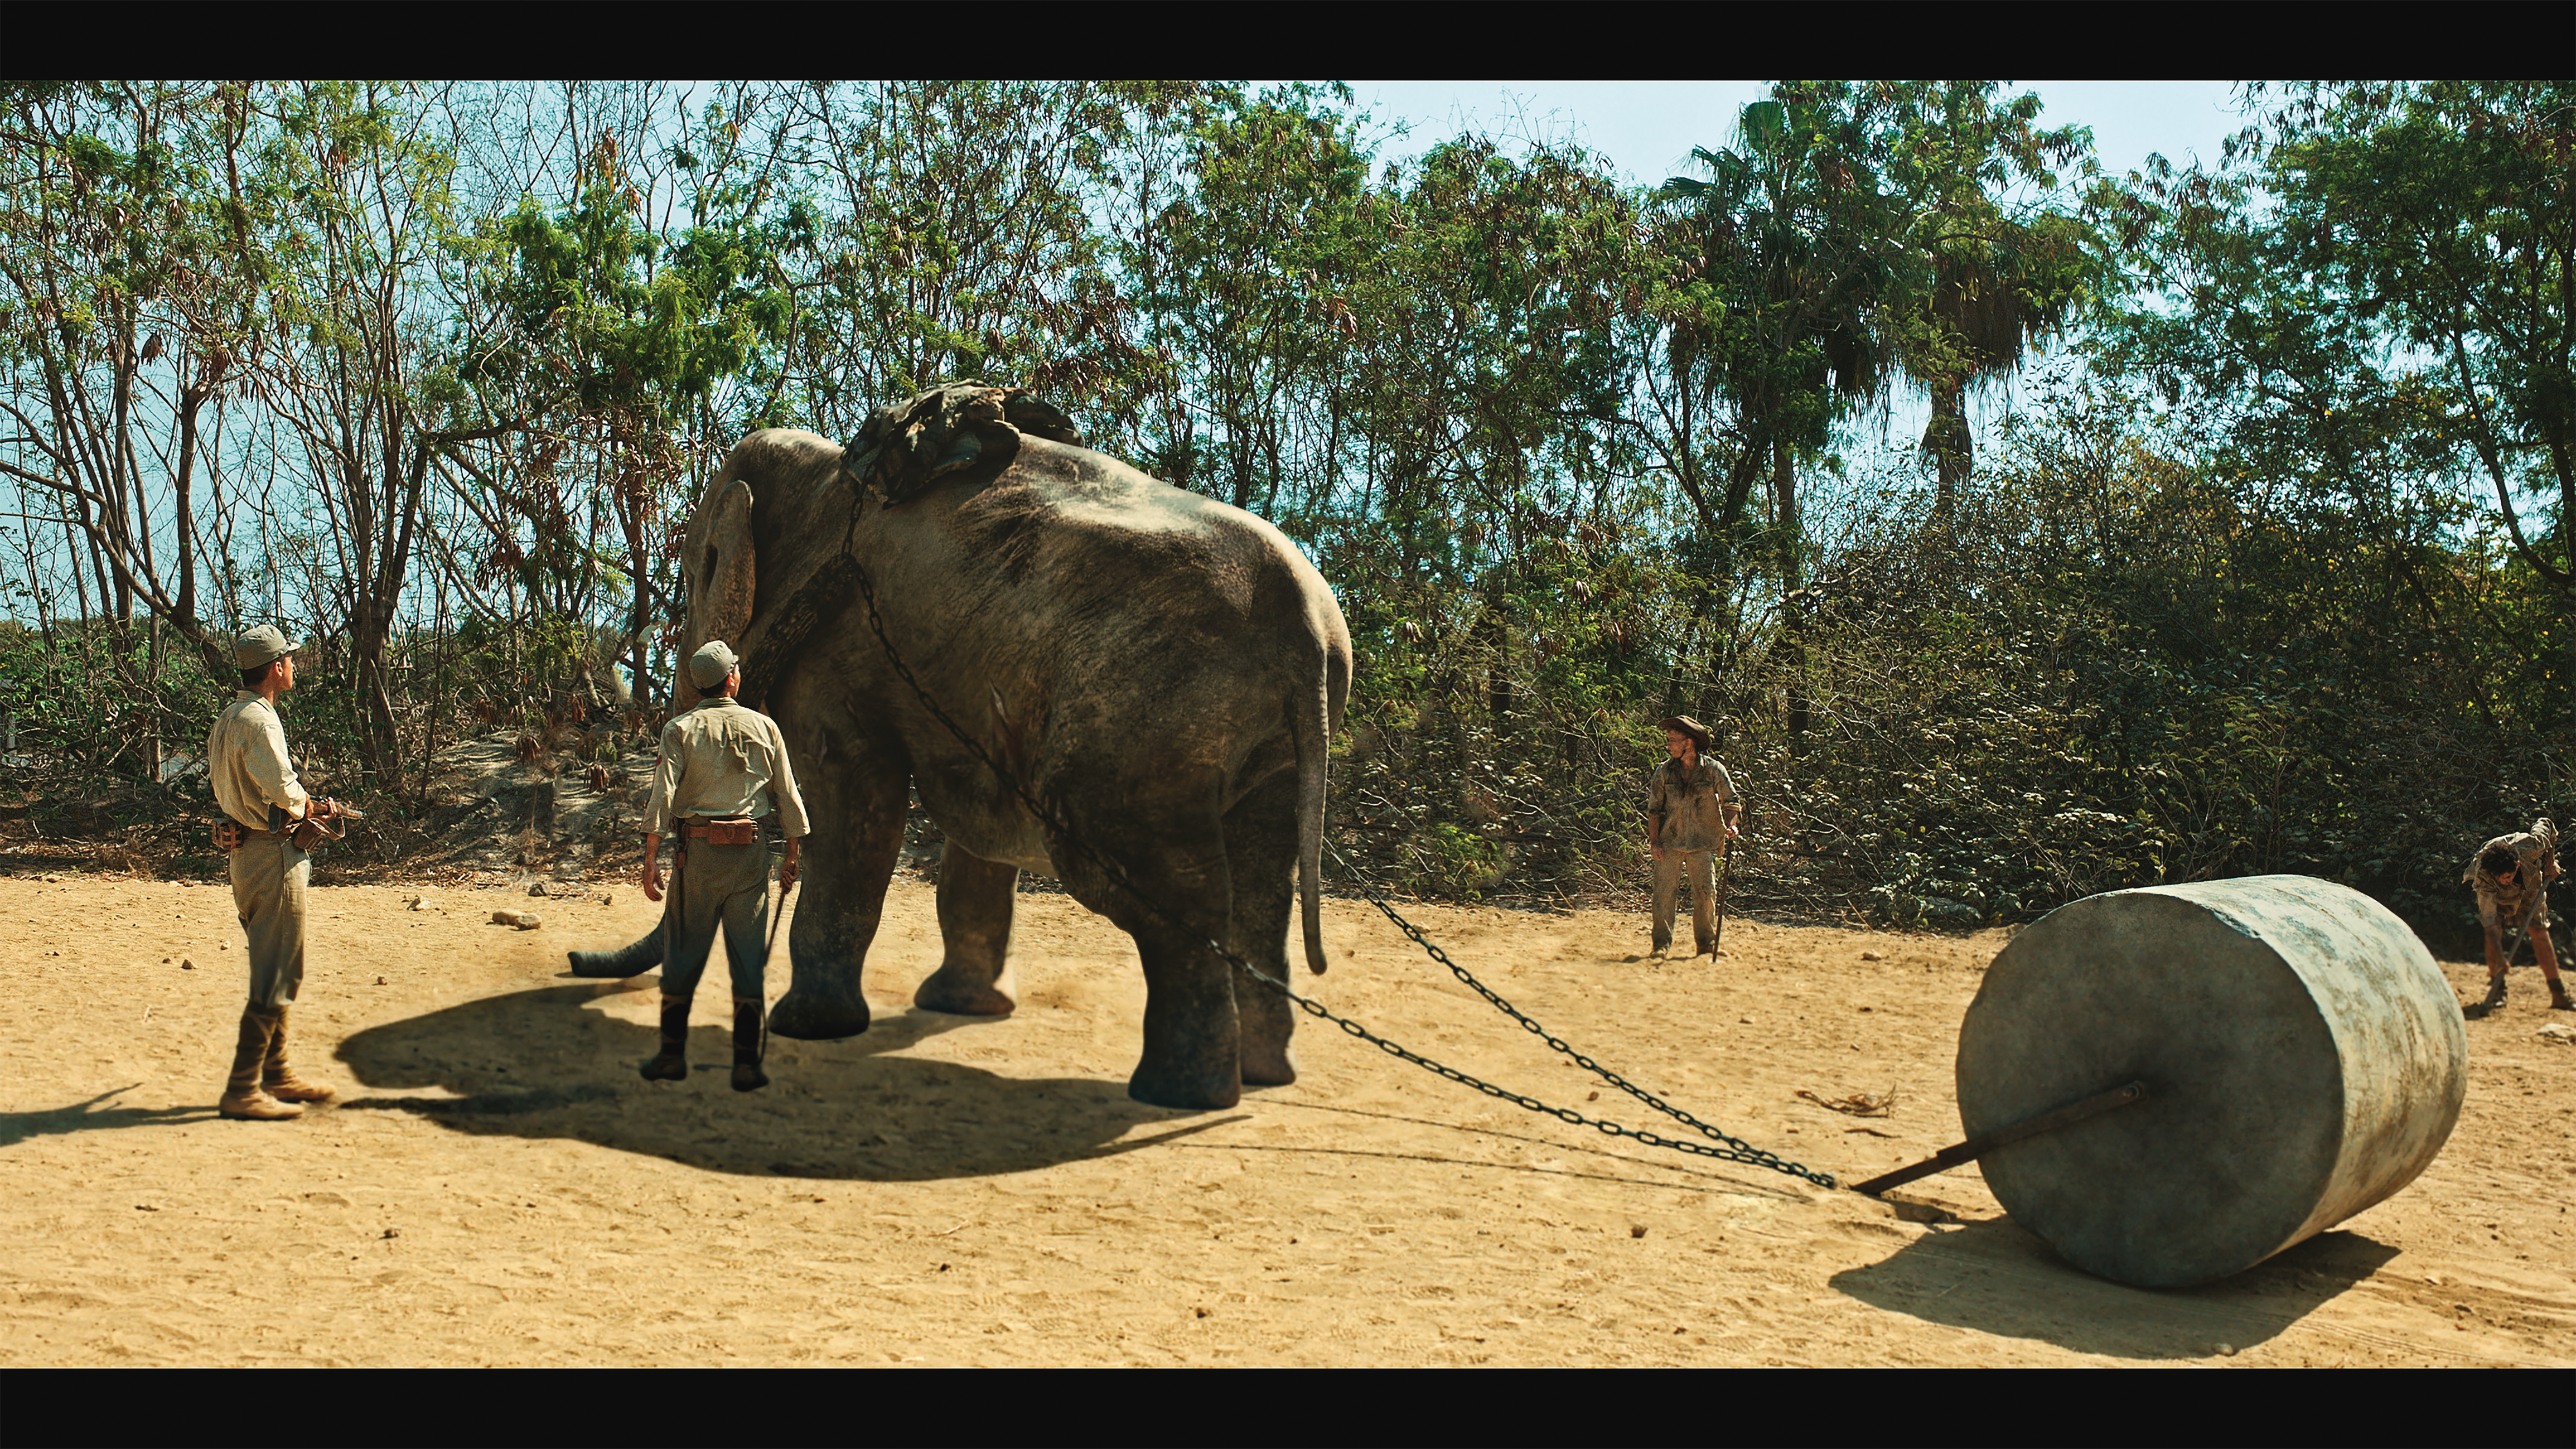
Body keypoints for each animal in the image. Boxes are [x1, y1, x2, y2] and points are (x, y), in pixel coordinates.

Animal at [569, 383, 1352, 1110]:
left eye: (701, 568)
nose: (575, 958)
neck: (828, 472)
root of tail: (1307, 630)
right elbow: (979, 822)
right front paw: (962, 1008)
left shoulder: (843, 646)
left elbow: (853, 803)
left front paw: (808, 1028)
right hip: (1262, 745)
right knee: (1261, 882)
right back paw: (1265, 1076)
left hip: (1141, 723)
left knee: (1156, 885)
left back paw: (1181, 1095)